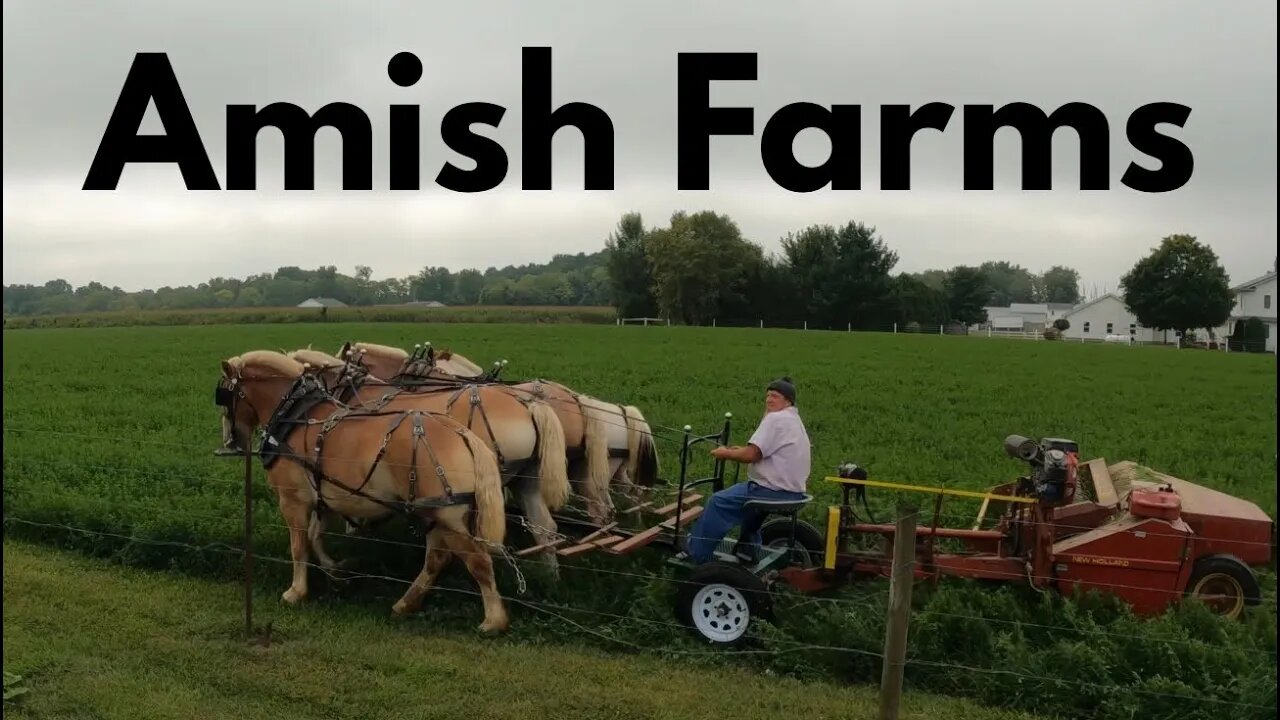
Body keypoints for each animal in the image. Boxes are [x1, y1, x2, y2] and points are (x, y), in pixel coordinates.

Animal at [215, 351, 509, 630]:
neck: (296, 416)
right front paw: (336, 570)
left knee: (478, 560)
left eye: (224, 396)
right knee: (438, 558)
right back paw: (406, 603)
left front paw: (296, 592)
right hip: (433, 512)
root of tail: (460, 433)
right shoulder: (325, 496)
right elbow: (314, 535)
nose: (231, 441)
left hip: (447, 517)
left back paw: (494, 620)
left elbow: (298, 545)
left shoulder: (292, 499)